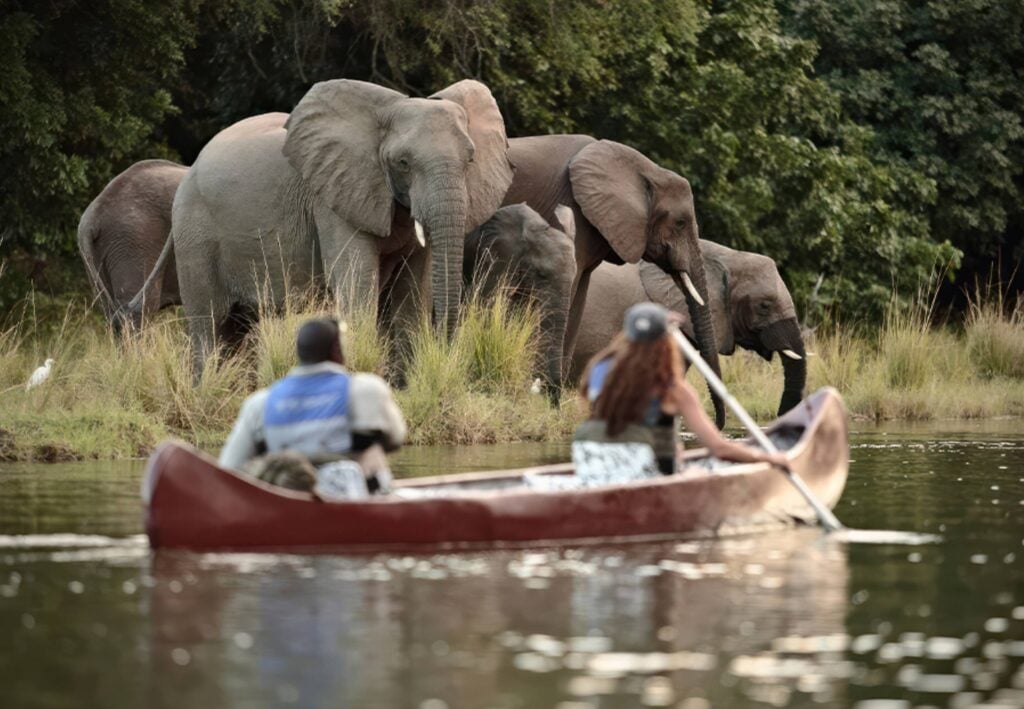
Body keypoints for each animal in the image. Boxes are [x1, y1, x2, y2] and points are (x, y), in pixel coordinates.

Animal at [133, 79, 513, 373]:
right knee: (209, 323)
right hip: (194, 232)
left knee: (238, 326)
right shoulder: (330, 197)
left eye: (470, 159)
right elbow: (356, 277)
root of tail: (190, 169)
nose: (449, 355)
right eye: (402, 163)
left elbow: (414, 287)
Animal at [500, 136, 726, 426]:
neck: (646, 170)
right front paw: (547, 402)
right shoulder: (568, 212)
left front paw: (553, 406)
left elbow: (577, 297)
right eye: (680, 223)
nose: (718, 424)